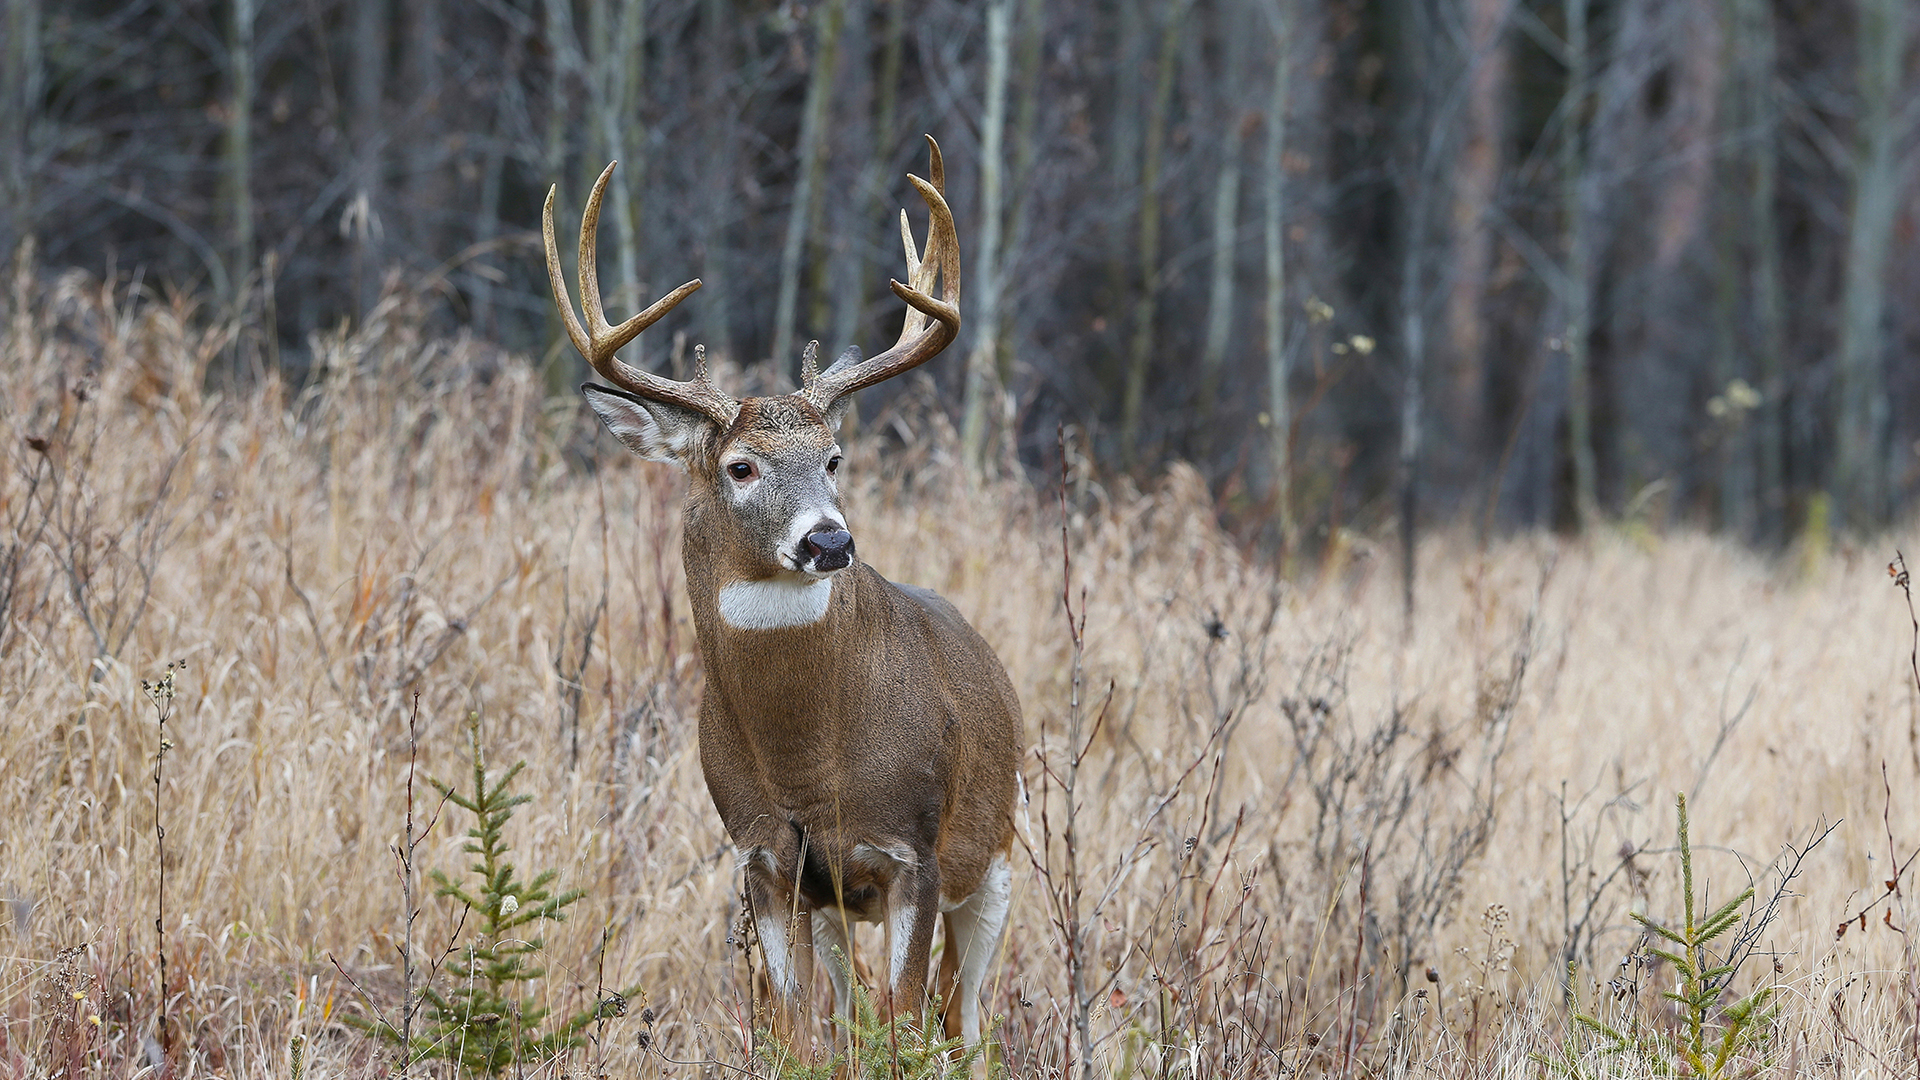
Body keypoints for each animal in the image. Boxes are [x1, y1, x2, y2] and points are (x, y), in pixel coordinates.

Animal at [541, 138, 1021, 1037]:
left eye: (834, 458)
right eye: (740, 466)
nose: (829, 540)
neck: (807, 753)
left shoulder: (914, 851)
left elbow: (903, 1021)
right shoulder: (764, 856)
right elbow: (802, 1031)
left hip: (997, 853)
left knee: (967, 1016)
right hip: (838, 907)